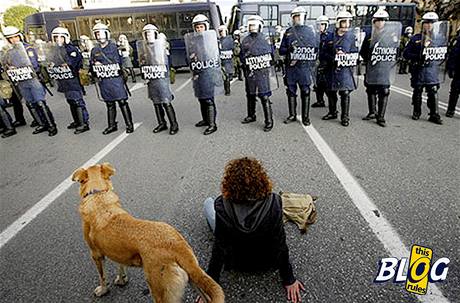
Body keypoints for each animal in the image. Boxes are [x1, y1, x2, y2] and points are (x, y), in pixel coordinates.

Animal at [71, 164, 226, 303]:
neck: (98, 194)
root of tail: (177, 245)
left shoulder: (96, 254)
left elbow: (102, 276)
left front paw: (103, 290)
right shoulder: (117, 251)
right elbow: (120, 266)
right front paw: (121, 280)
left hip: (159, 291)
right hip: (193, 278)